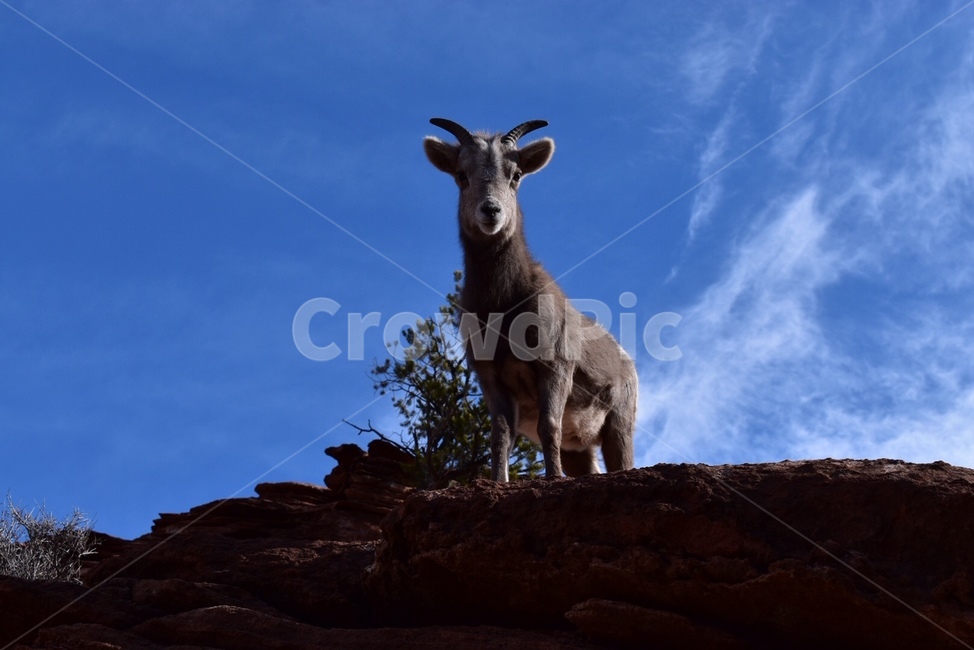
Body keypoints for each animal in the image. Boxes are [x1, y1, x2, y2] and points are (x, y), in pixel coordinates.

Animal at [424, 118, 637, 481]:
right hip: (581, 449)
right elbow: (500, 435)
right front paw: (499, 480)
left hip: (619, 425)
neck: (503, 307)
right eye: (462, 175)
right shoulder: (490, 377)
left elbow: (548, 425)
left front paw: (553, 478)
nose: (491, 211)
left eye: (516, 175)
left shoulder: (554, 366)